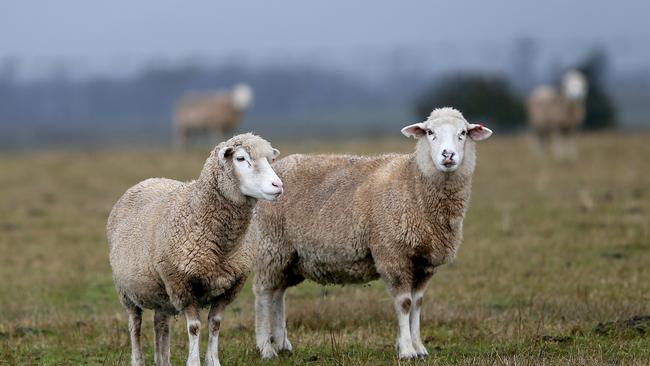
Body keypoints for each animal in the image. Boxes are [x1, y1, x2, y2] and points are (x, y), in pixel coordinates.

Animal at [107, 132, 282, 366]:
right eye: (241, 159)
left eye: (269, 160)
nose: (277, 185)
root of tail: (150, 179)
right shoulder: (182, 284)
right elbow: (194, 327)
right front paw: (194, 361)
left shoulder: (230, 286)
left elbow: (215, 324)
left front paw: (213, 360)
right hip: (126, 289)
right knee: (135, 323)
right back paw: (138, 360)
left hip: (161, 291)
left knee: (160, 323)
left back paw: (163, 361)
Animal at [248, 108, 492, 360]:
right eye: (430, 132)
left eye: (462, 133)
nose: (448, 155)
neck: (413, 183)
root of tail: (277, 168)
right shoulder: (393, 254)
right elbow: (405, 304)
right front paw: (407, 351)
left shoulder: (425, 263)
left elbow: (417, 304)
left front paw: (419, 348)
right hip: (271, 246)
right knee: (263, 294)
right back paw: (266, 348)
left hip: (289, 256)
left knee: (278, 293)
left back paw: (282, 344)